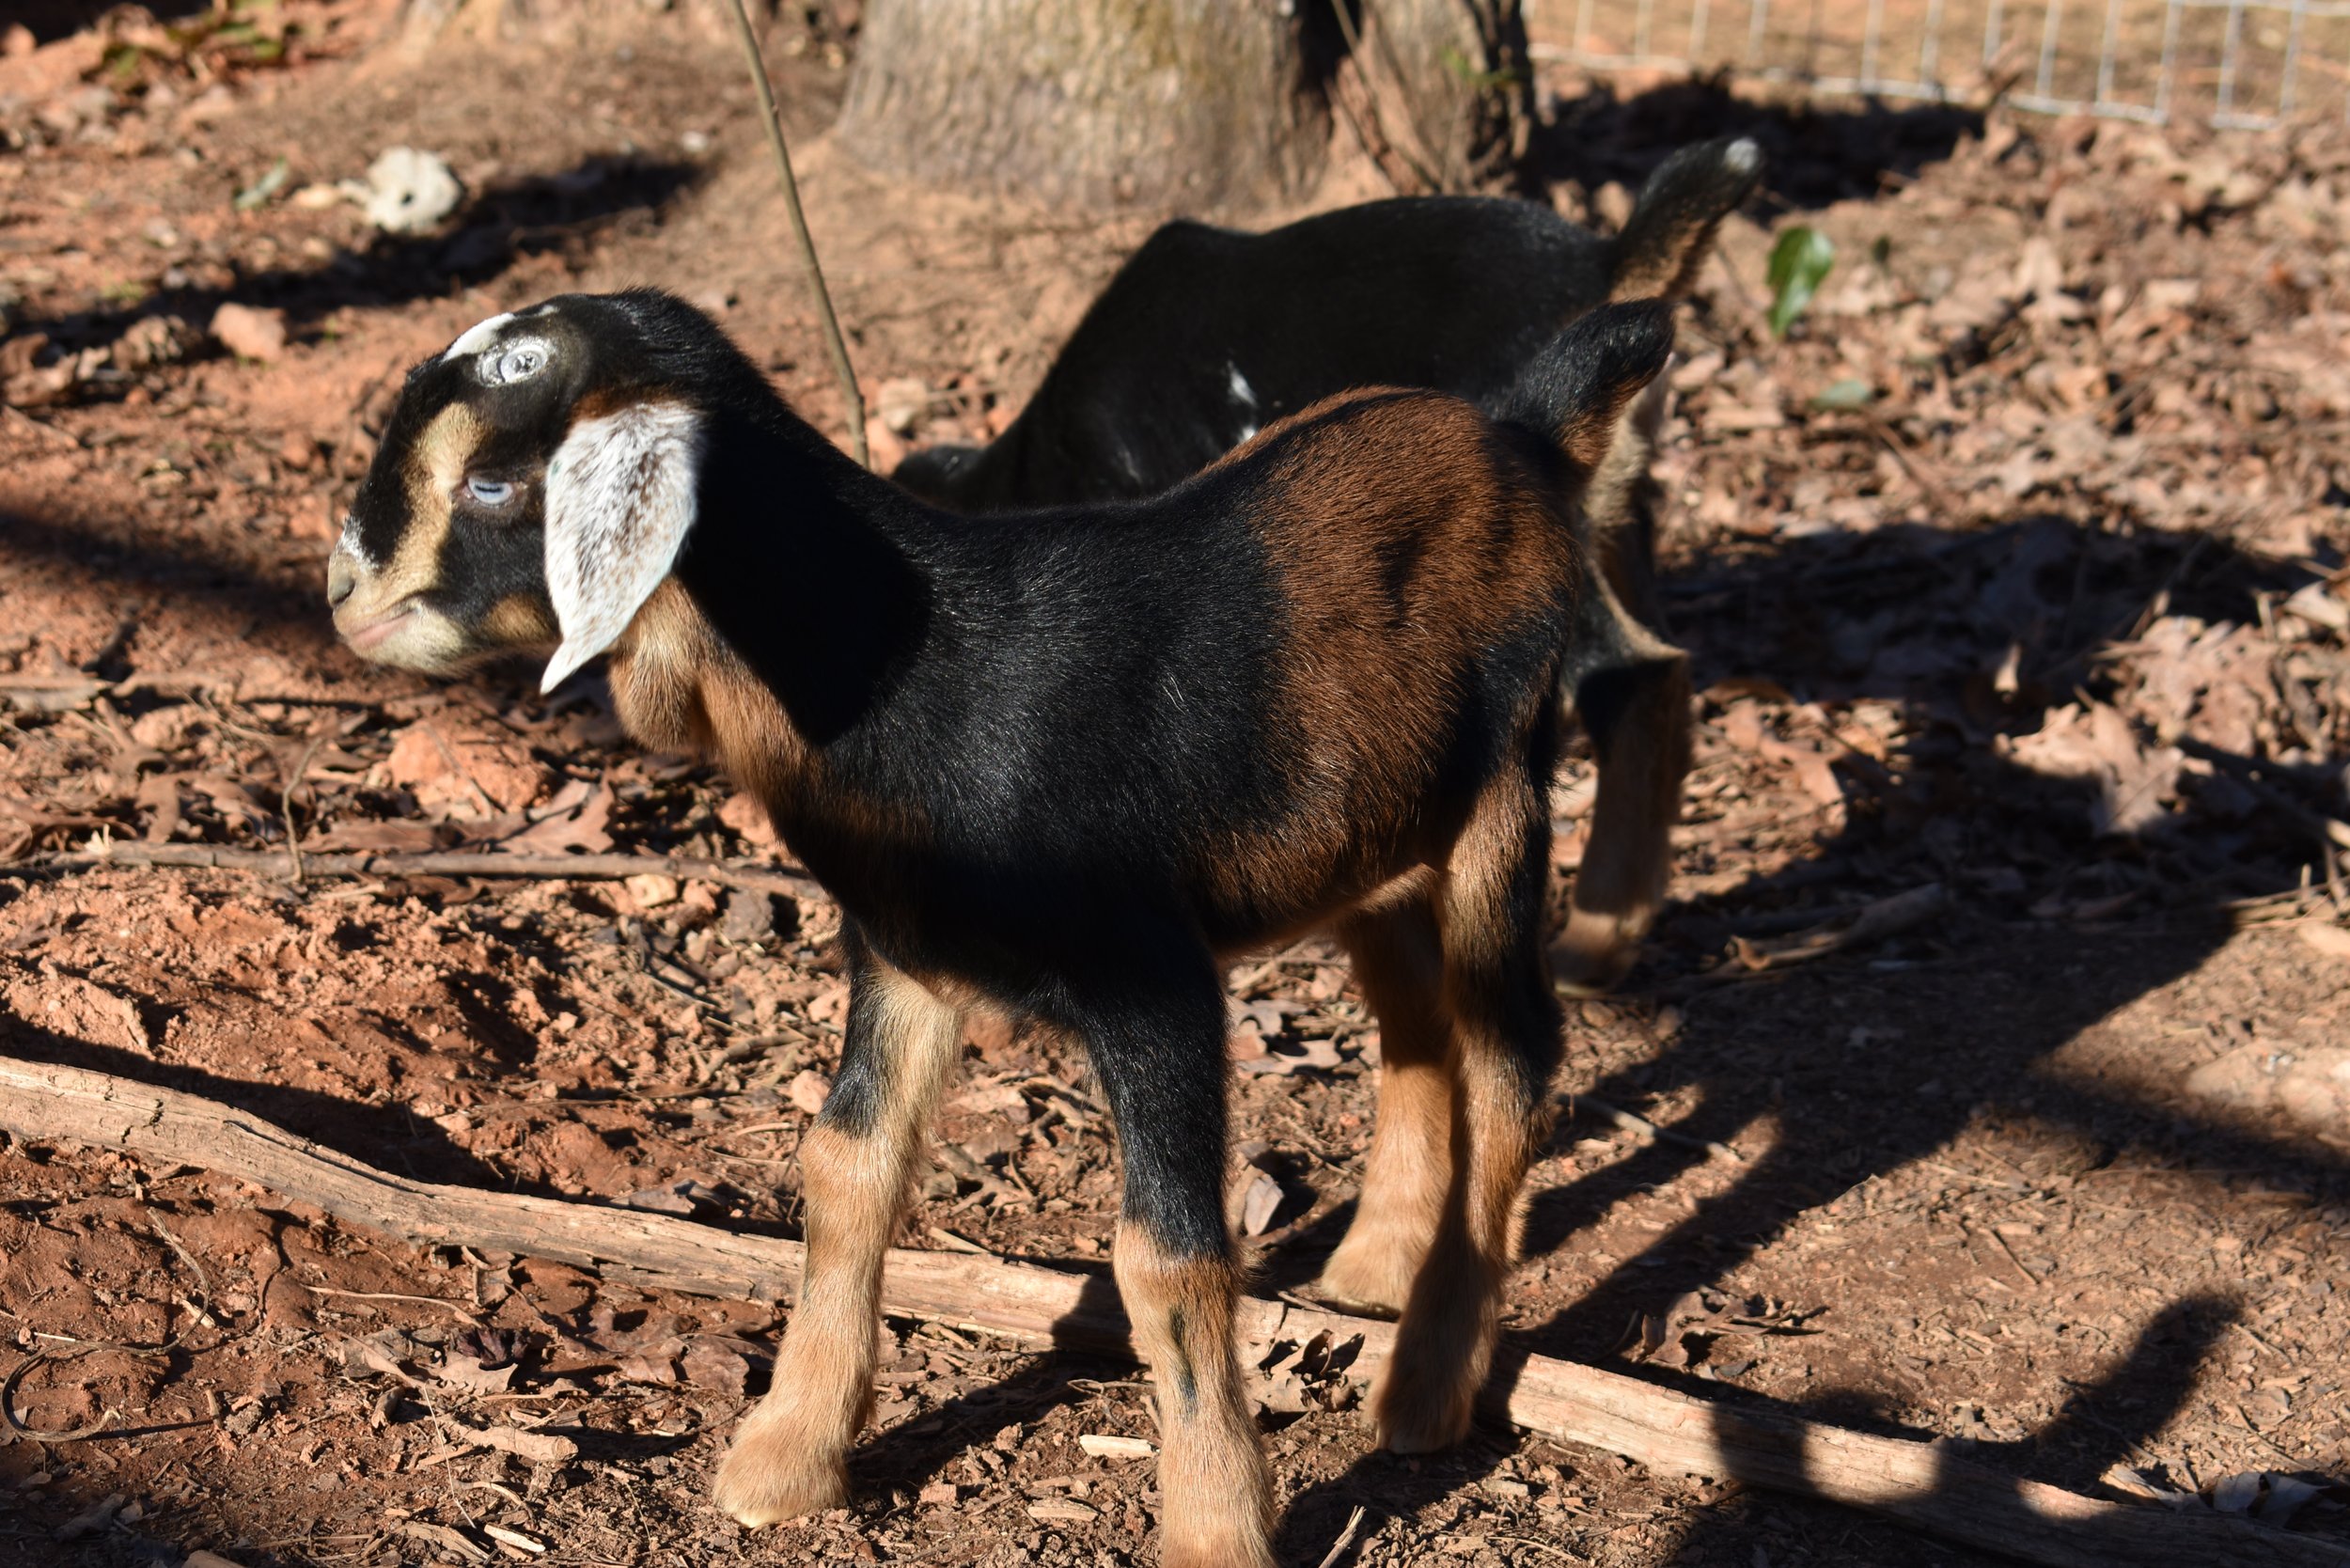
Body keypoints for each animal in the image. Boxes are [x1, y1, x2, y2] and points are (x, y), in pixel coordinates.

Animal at [326, 287, 1676, 1568]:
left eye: (494, 478)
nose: (341, 594)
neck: (925, 669)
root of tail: (1521, 433)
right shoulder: (902, 954)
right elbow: (847, 1166)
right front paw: (784, 1461)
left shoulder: (1153, 981)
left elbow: (1167, 1257)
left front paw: (1216, 1531)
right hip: (1370, 841)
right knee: (1416, 1027)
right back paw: (1375, 1267)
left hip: (1501, 796)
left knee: (1511, 1058)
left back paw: (1429, 1383)